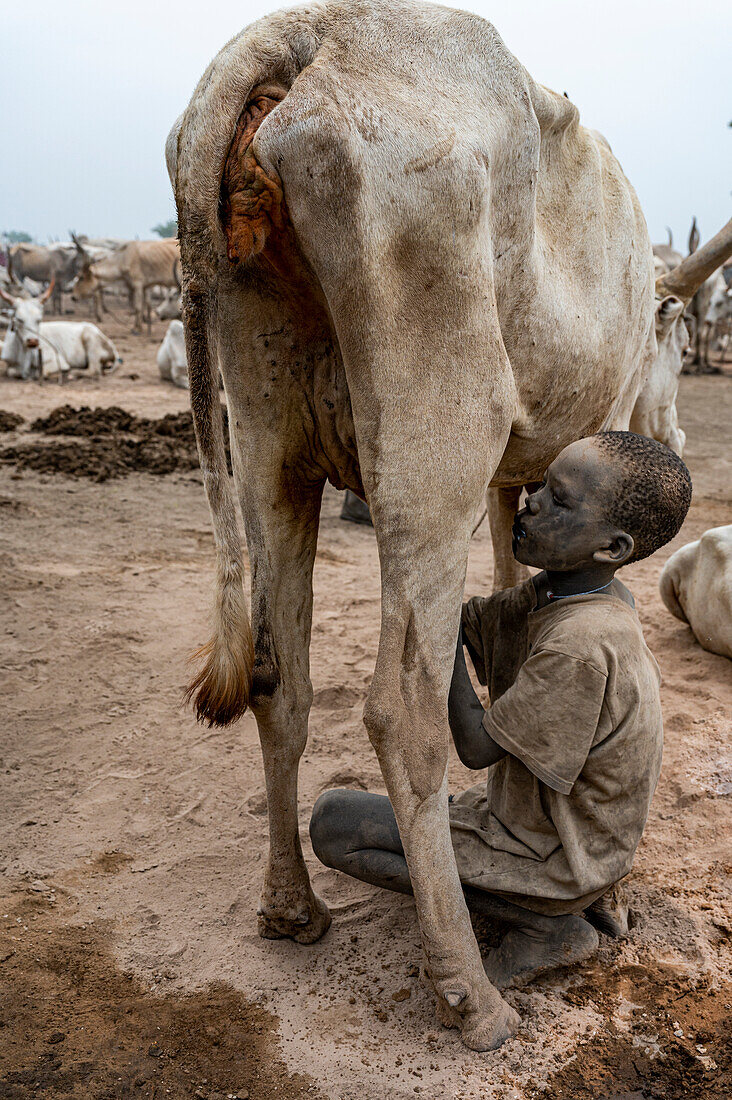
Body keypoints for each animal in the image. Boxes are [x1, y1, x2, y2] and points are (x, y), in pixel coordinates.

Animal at [168, 0, 730, 1047]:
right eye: (675, 328)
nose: (675, 428)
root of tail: (301, 33)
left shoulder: (519, 477)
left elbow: (515, 573)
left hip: (265, 437)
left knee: (279, 676)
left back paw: (291, 909)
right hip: (436, 438)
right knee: (401, 709)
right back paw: (471, 992)